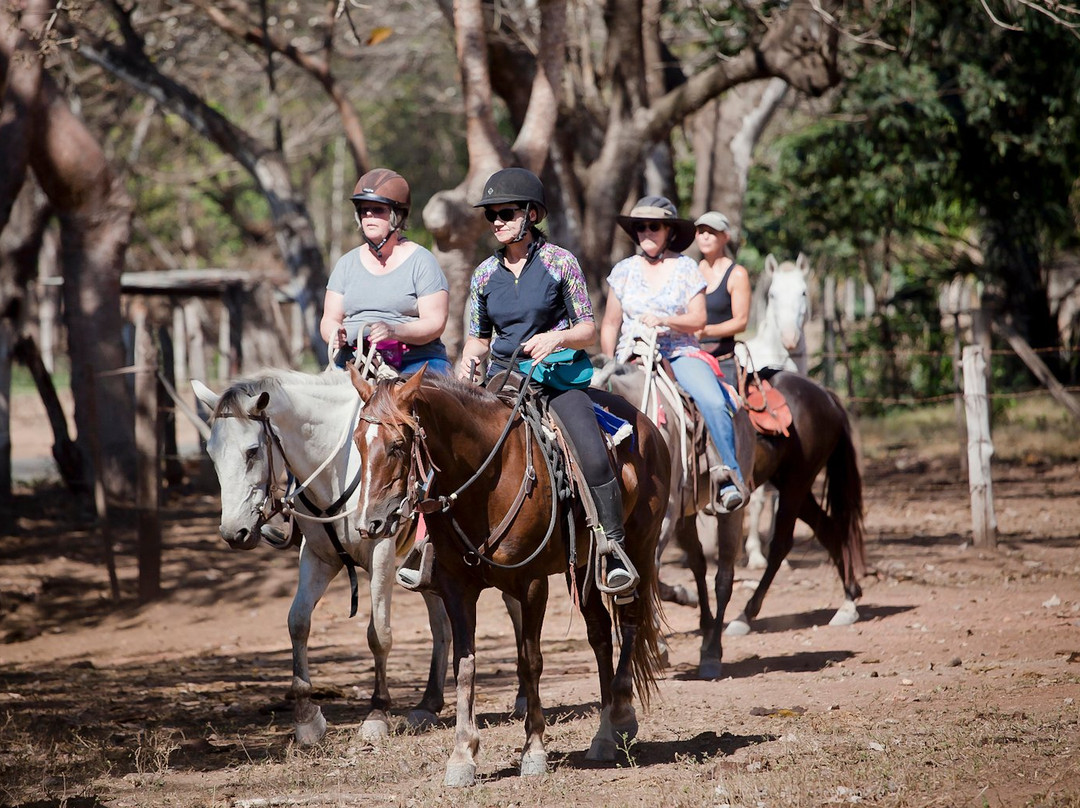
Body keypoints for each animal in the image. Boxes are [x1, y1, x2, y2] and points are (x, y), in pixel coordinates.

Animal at [192, 369, 453, 747]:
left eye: (252, 451)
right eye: (211, 454)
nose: (233, 532)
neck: (338, 468)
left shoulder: (382, 554)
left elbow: (379, 634)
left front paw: (377, 714)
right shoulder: (317, 558)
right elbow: (298, 622)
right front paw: (306, 718)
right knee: (442, 625)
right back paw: (428, 705)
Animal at [345, 369, 669, 786]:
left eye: (398, 445)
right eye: (358, 442)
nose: (368, 524)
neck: (487, 478)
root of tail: (645, 424)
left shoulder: (531, 584)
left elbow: (530, 661)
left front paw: (534, 751)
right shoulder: (457, 589)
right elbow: (464, 665)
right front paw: (463, 754)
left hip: (641, 545)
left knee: (629, 621)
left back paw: (623, 716)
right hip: (583, 566)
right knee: (599, 634)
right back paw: (605, 733)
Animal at [596, 358, 864, 674]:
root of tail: (824, 393)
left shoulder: (666, 517)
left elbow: (656, 570)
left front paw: (666, 642)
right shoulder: (677, 517)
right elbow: (693, 565)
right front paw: (691, 609)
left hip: (794, 484)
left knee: (776, 548)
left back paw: (738, 623)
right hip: (791, 483)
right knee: (829, 530)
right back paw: (848, 601)